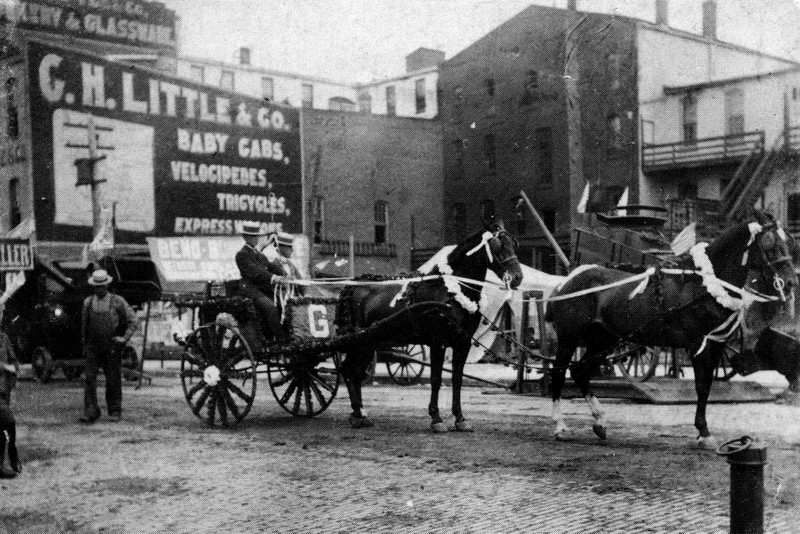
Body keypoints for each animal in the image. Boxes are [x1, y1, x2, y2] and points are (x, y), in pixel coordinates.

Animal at [336, 221, 524, 432]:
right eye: (497, 245)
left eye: (513, 244)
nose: (518, 277)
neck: (451, 291)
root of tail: (352, 286)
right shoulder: (438, 342)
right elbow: (436, 379)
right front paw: (436, 418)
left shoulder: (463, 342)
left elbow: (457, 379)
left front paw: (460, 418)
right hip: (359, 342)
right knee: (349, 371)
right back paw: (358, 413)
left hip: (369, 342)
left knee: (354, 372)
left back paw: (359, 414)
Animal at [544, 211, 792, 450]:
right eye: (769, 242)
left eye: (787, 239)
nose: (789, 282)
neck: (704, 285)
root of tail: (566, 282)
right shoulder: (698, 344)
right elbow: (701, 387)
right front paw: (703, 433)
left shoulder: (716, 343)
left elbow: (708, 386)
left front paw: (703, 432)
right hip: (569, 339)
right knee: (558, 373)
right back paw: (560, 426)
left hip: (603, 340)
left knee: (579, 372)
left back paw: (600, 422)